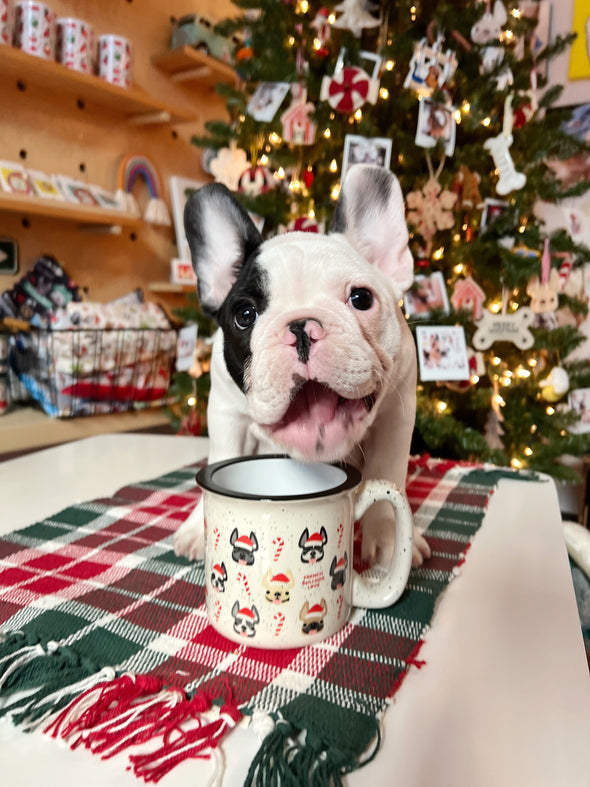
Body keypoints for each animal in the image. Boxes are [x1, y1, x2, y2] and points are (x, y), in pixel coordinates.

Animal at [173, 168, 432, 572]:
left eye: (361, 298)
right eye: (244, 315)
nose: (300, 327)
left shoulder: (396, 414)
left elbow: (387, 472)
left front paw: (391, 537)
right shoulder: (227, 415)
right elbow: (221, 457)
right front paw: (197, 526)